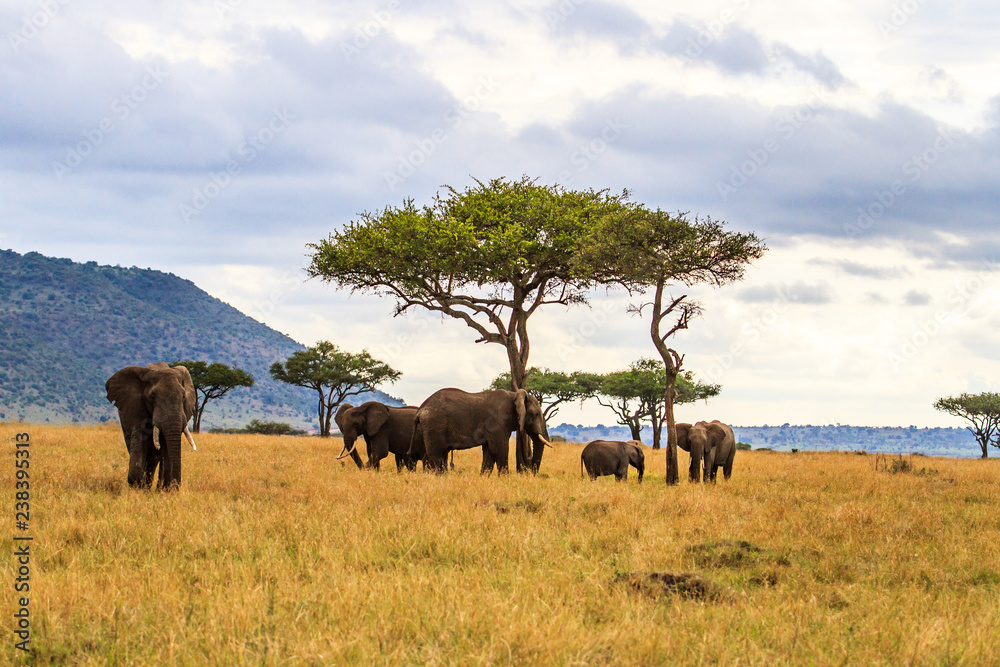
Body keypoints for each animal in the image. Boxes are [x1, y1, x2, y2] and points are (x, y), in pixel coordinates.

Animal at [407, 388, 553, 474]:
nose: (531, 473)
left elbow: (489, 453)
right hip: (434, 425)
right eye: (537, 414)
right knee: (435, 457)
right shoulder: (497, 422)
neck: (515, 395)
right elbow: (500, 449)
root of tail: (420, 410)